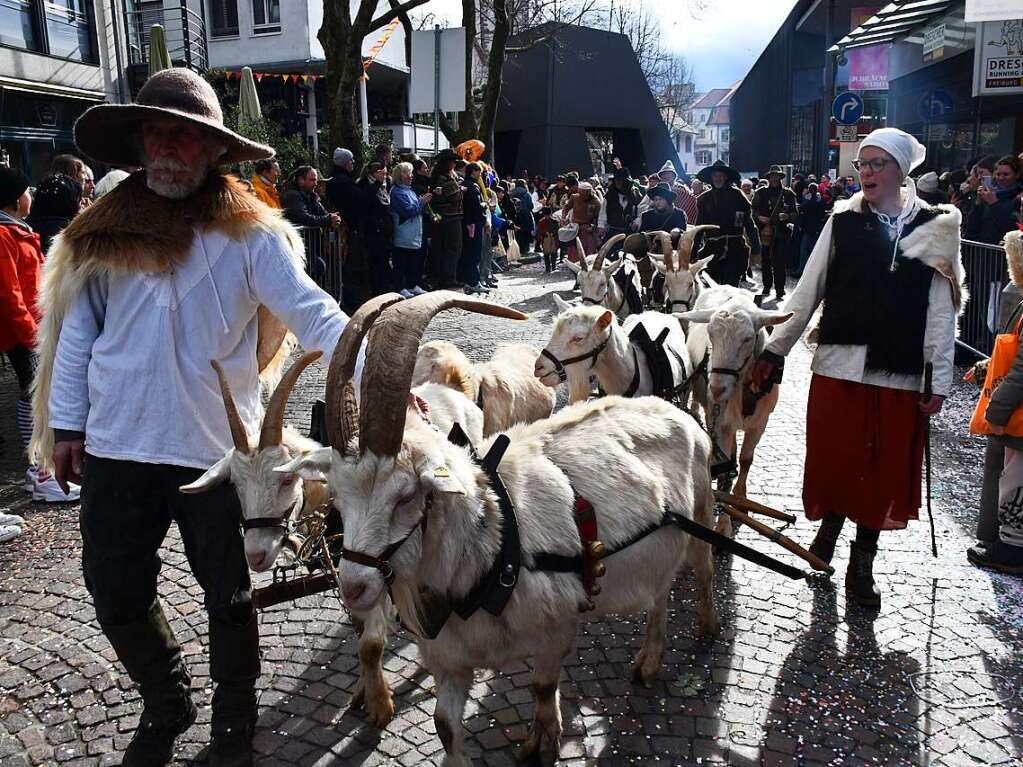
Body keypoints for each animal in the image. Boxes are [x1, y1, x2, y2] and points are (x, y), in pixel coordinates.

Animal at [679, 290, 789, 527]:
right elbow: (724, 468)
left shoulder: (760, 423)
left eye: (748, 339)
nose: (717, 388)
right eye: (711, 334)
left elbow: (746, 460)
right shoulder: (721, 422)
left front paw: (741, 499)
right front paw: (723, 525)